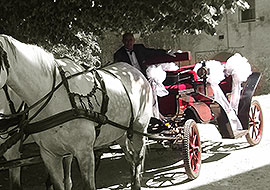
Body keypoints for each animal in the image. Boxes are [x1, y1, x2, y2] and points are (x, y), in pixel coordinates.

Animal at [0, 34, 152, 190]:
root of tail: (135, 72)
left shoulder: (84, 152)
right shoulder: (49, 155)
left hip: (139, 129)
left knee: (138, 157)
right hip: (119, 132)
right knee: (130, 156)